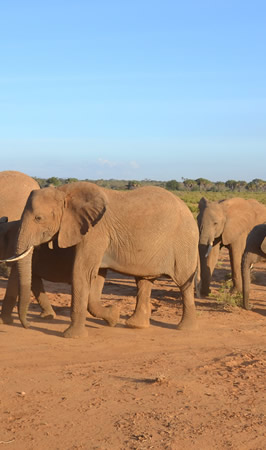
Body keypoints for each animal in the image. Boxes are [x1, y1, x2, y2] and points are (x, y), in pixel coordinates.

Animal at [5, 181, 200, 336]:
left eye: (39, 218)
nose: (27, 326)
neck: (64, 191)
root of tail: (188, 210)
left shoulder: (95, 232)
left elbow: (82, 272)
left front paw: (72, 336)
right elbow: (96, 276)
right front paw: (113, 317)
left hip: (184, 242)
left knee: (183, 282)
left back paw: (185, 328)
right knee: (144, 281)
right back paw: (135, 325)